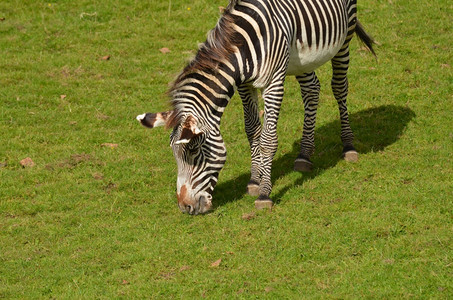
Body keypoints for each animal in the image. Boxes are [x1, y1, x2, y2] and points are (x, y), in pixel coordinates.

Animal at [137, 0, 374, 216]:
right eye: (175, 154)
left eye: (194, 151)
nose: (185, 208)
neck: (244, 45)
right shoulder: (244, 85)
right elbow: (252, 131)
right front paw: (254, 180)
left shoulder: (273, 83)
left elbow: (268, 139)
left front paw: (264, 193)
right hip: (302, 58)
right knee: (311, 89)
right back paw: (304, 155)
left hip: (345, 35)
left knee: (339, 87)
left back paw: (348, 146)